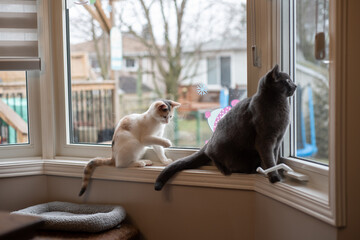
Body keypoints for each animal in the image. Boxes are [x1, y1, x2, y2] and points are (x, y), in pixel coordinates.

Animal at [155, 64, 298, 190]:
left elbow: (274, 157)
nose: (295, 85)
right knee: (211, 154)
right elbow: (269, 159)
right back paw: (226, 169)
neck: (280, 106)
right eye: (287, 80)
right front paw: (274, 177)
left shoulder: (278, 139)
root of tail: (210, 140)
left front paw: (275, 170)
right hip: (225, 148)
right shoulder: (265, 140)